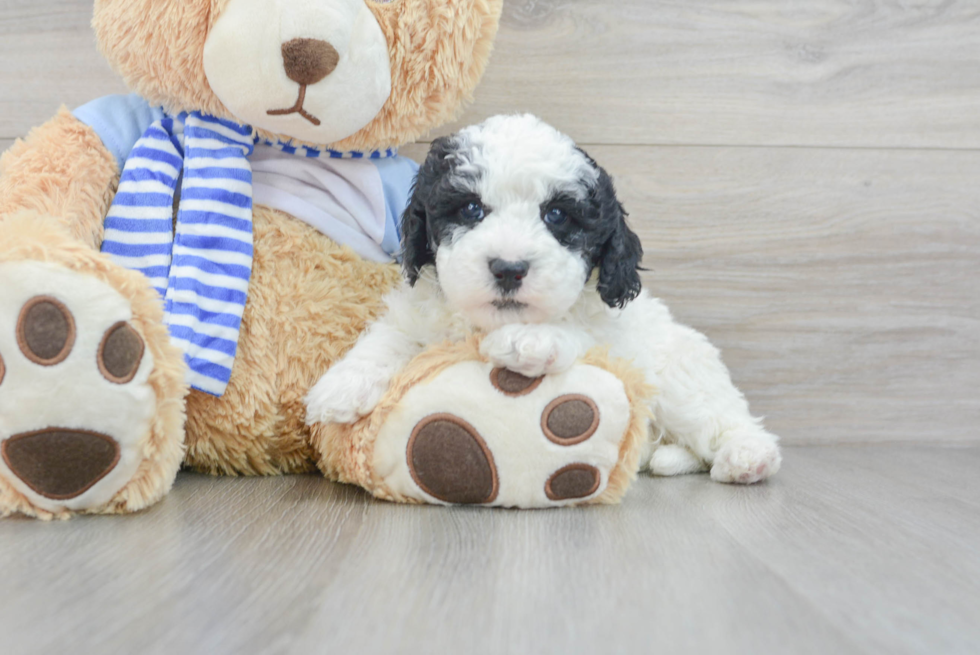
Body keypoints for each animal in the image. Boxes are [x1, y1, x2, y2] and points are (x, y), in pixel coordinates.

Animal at [306, 113, 780, 484]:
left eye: (557, 215)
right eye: (470, 209)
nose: (509, 268)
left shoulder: (613, 334)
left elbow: (580, 330)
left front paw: (529, 340)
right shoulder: (419, 311)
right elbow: (391, 336)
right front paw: (340, 386)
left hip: (682, 377)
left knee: (721, 419)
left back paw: (747, 457)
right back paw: (664, 457)